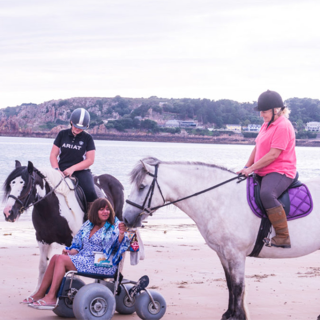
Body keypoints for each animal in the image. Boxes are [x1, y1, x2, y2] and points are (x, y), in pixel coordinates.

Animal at [124, 157, 320, 320]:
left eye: (141, 186)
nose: (126, 218)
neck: (222, 200)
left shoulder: (236, 254)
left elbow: (238, 285)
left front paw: (238, 316)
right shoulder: (223, 253)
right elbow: (230, 284)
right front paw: (229, 314)